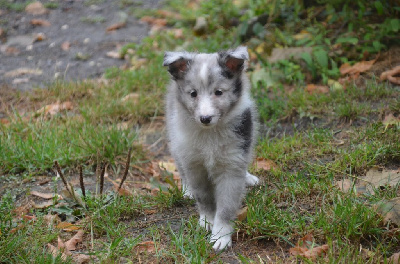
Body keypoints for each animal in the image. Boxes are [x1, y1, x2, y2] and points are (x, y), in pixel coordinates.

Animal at [163, 46, 260, 251]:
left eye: (219, 92)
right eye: (193, 93)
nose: (205, 118)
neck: (210, 134)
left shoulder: (232, 166)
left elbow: (226, 206)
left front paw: (220, 236)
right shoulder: (194, 165)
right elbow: (204, 197)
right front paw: (207, 221)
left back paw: (248, 177)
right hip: (176, 141)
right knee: (181, 168)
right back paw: (187, 190)